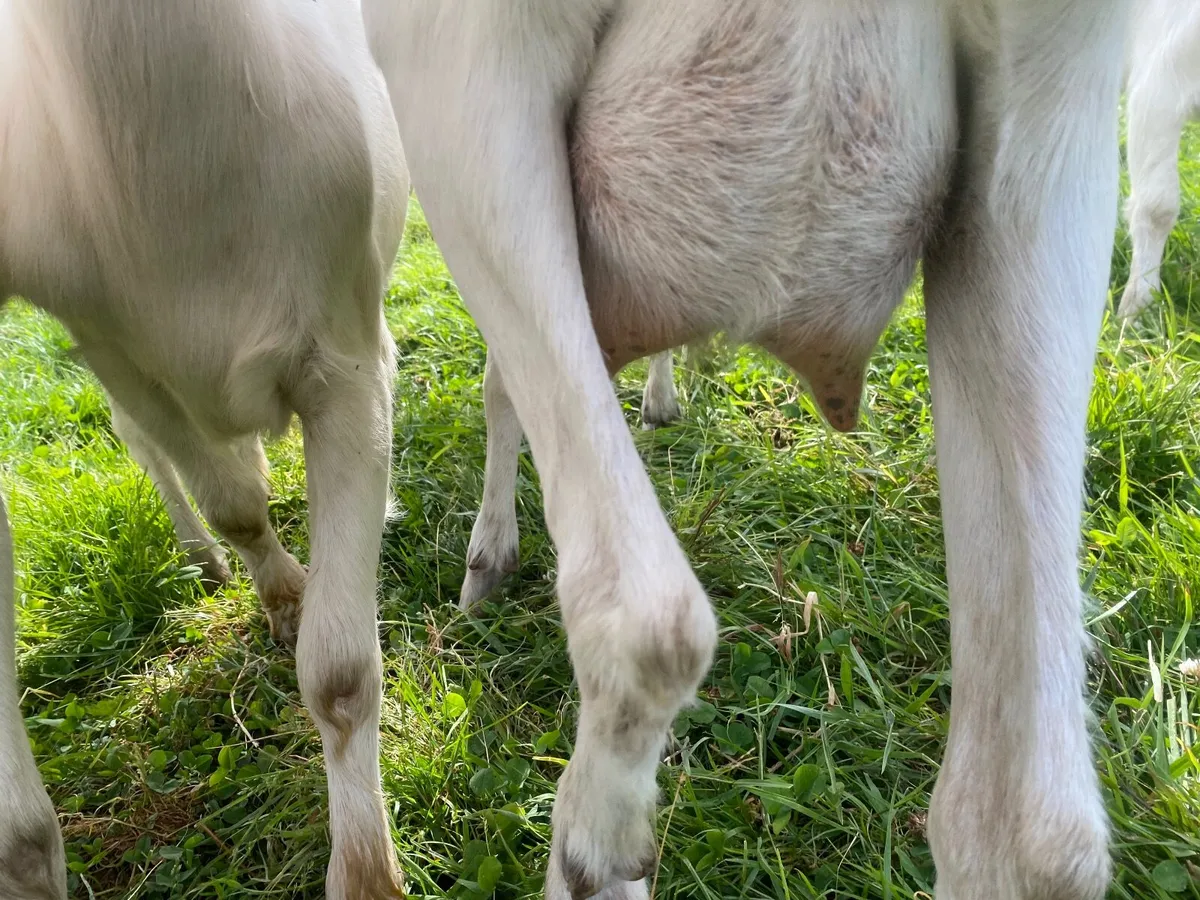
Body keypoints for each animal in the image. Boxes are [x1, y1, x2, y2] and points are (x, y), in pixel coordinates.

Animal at [0, 1, 408, 897]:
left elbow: (340, 672)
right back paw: (203, 558)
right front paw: (282, 592)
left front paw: (366, 872)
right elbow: (233, 504)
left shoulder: (350, 364)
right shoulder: (126, 362)